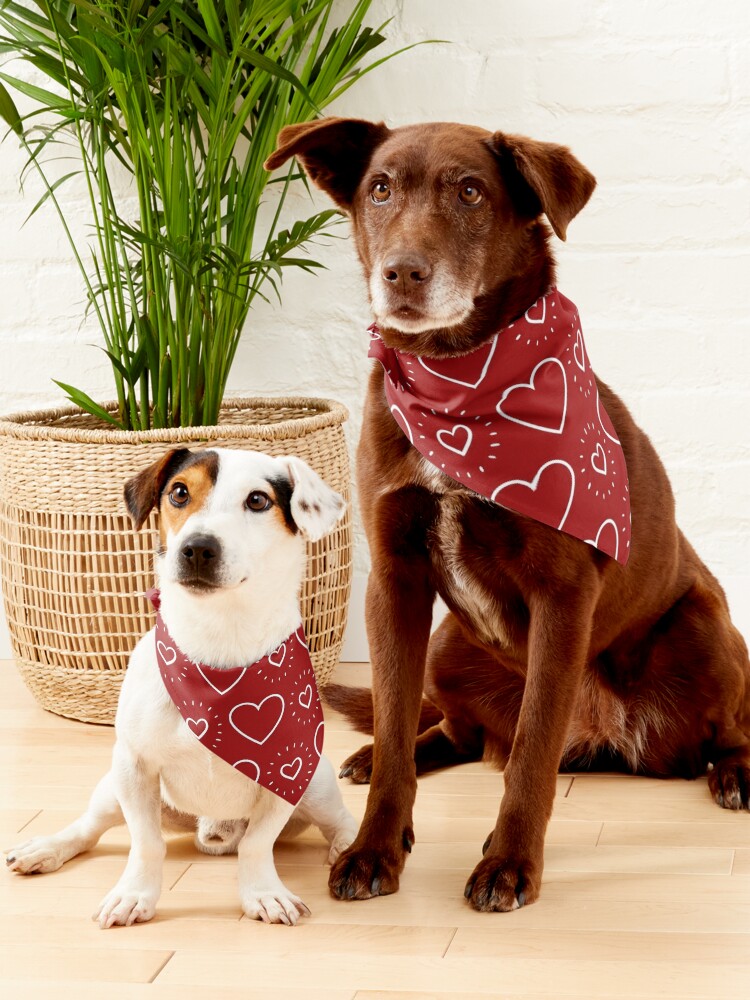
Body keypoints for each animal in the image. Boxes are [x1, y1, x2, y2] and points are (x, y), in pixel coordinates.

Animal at [5, 450, 358, 924]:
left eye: (258, 500)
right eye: (179, 492)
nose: (198, 547)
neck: (217, 643)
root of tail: (213, 829)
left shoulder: (286, 772)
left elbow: (257, 844)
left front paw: (262, 893)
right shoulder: (133, 766)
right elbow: (146, 843)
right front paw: (134, 894)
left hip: (316, 784)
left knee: (340, 820)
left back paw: (349, 849)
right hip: (113, 788)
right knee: (89, 828)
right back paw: (46, 848)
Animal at [268, 121, 748, 912]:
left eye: (470, 192)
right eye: (380, 188)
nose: (402, 273)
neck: (457, 380)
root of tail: (610, 740)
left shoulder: (562, 597)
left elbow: (530, 753)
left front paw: (508, 863)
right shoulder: (393, 581)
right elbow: (397, 722)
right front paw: (374, 847)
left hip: (702, 632)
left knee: (728, 725)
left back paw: (735, 773)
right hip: (448, 647)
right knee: (453, 730)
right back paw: (379, 754)